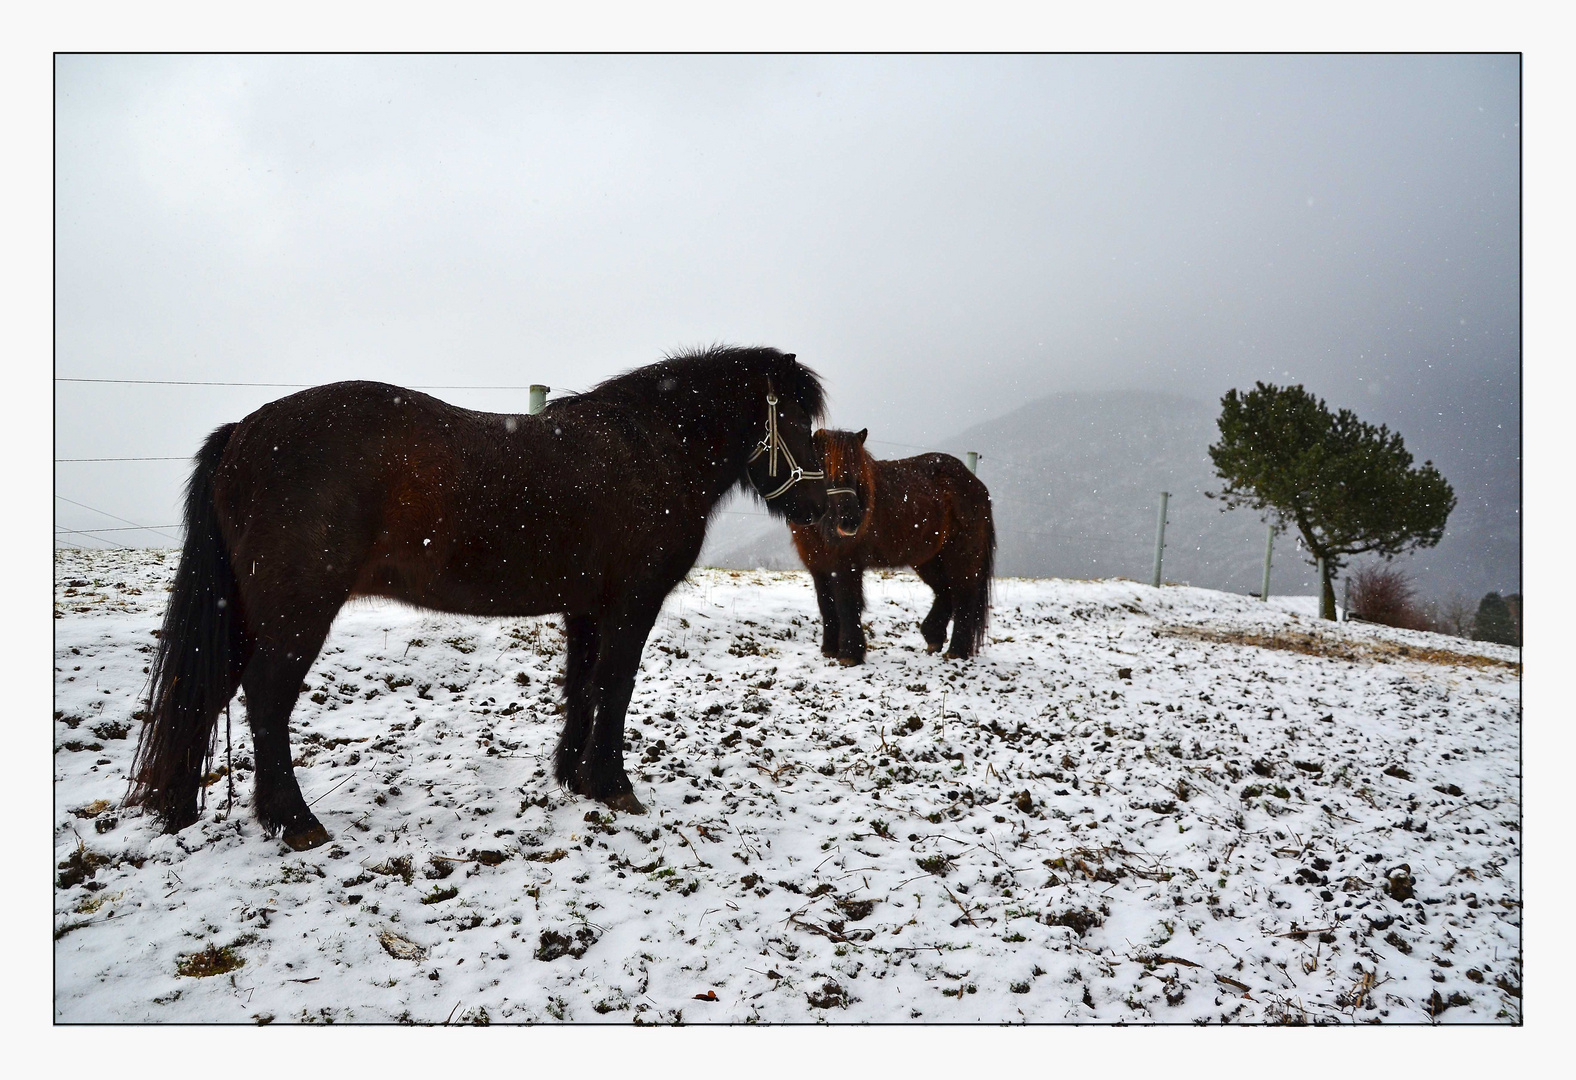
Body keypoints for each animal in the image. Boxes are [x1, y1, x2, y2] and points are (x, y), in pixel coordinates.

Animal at [129, 350, 832, 845]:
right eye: (798, 421)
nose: (831, 505)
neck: (649, 450)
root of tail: (243, 432)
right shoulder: (631, 605)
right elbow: (616, 685)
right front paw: (612, 785)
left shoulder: (586, 607)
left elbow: (582, 685)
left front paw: (572, 776)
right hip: (296, 613)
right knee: (266, 697)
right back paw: (296, 822)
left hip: (246, 614)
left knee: (214, 689)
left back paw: (188, 810)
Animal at [788, 428, 996, 665]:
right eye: (824, 472)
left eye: (857, 472)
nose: (851, 522)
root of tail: (976, 484)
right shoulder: (819, 568)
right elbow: (827, 607)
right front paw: (829, 650)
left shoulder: (846, 566)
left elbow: (847, 605)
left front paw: (850, 654)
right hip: (928, 559)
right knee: (945, 591)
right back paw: (933, 638)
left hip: (960, 556)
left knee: (963, 596)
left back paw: (956, 651)